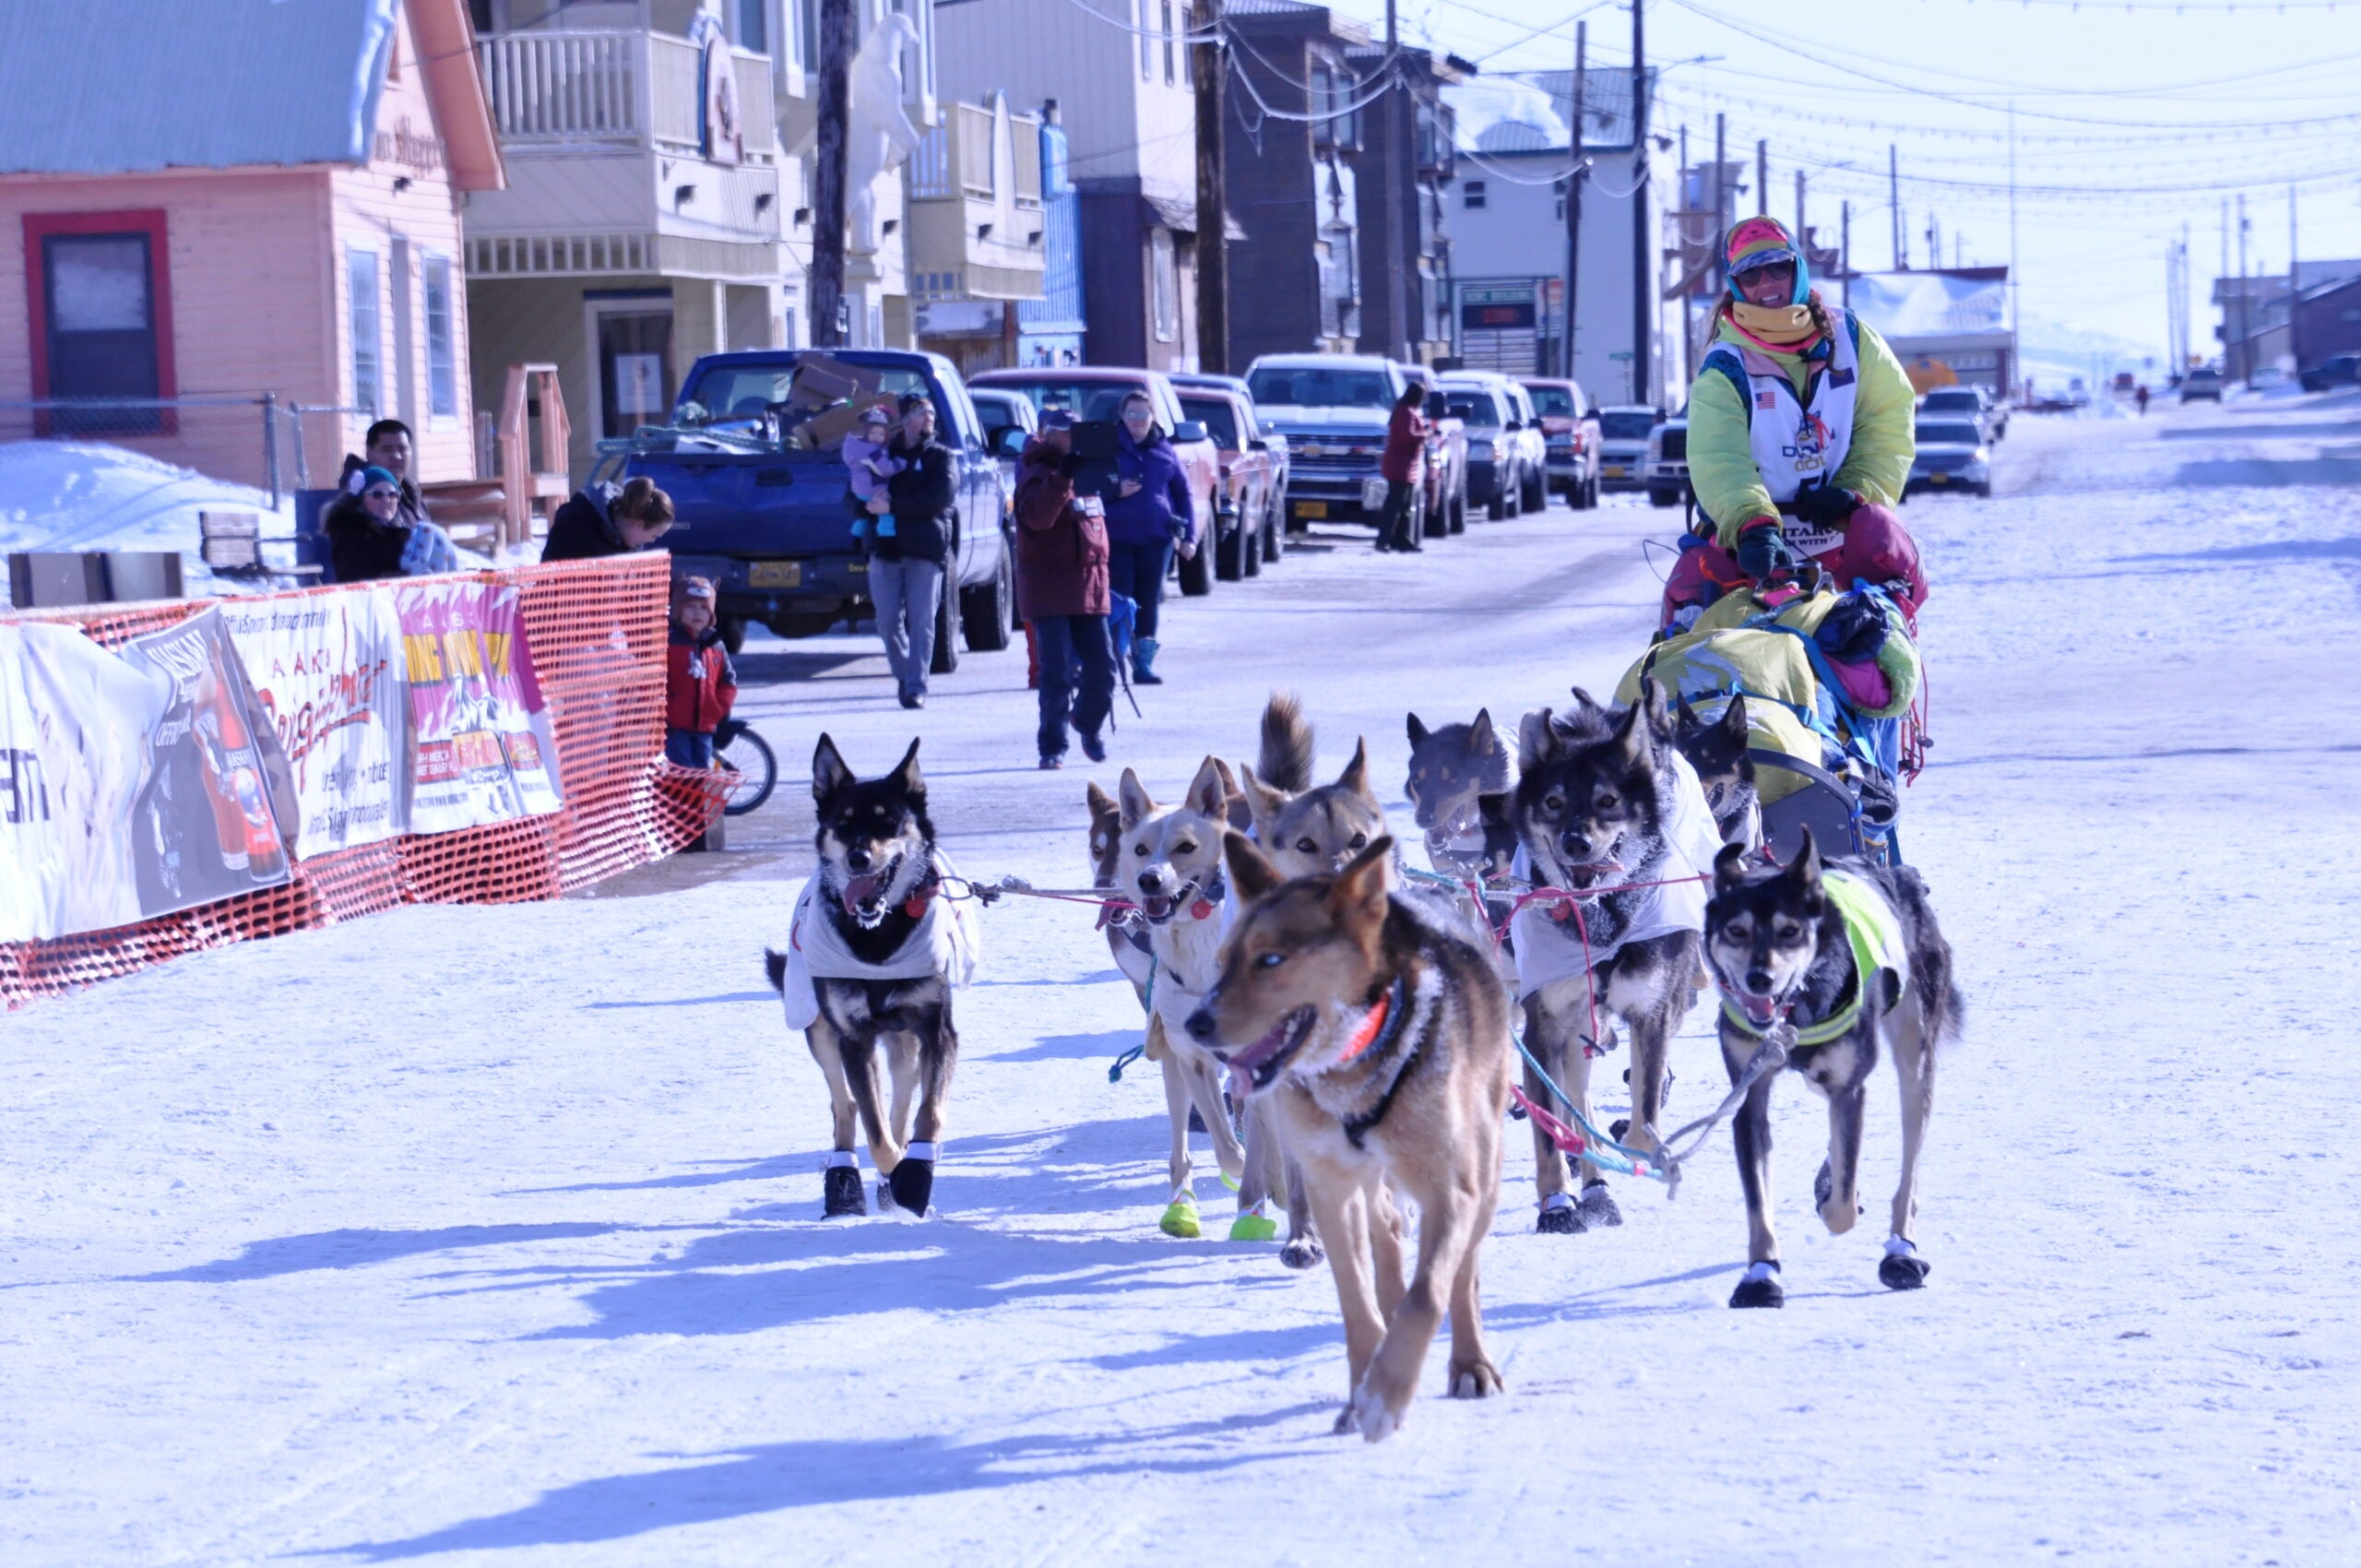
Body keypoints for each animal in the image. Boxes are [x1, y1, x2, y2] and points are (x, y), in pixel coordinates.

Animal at [1190, 831, 1501, 1444]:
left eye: (1271, 959)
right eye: (1224, 962)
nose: (1195, 1024)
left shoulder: (1450, 1188)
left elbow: (1430, 1293)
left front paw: (1387, 1396)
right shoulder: (1330, 1187)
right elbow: (1356, 1298)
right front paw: (1364, 1389)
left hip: (1484, 1161)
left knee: (1461, 1273)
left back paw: (1469, 1363)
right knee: (1385, 1235)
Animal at [1709, 831, 1964, 1313]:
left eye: (1790, 931)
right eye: (1736, 931)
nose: (1759, 979)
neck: (1795, 1007)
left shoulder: (1849, 1088)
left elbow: (1842, 1205)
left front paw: (1837, 1202)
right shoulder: (1748, 1098)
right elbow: (1758, 1202)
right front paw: (1761, 1276)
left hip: (1915, 1063)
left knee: (1907, 1174)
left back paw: (1901, 1251)